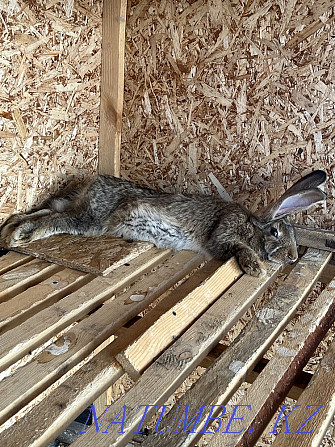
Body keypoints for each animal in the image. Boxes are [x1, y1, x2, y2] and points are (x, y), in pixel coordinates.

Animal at [0, 171, 326, 278]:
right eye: (275, 231)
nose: (293, 257)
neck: (252, 224)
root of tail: (92, 183)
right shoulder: (224, 234)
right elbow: (236, 248)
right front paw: (256, 268)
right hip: (91, 219)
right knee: (55, 220)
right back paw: (20, 235)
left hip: (76, 207)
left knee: (45, 210)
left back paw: (10, 229)